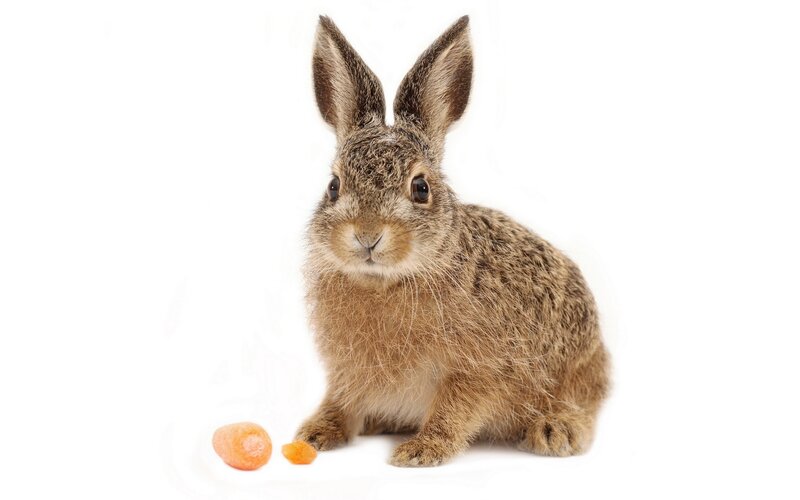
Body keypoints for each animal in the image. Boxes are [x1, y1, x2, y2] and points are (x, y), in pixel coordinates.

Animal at [295, 15, 610, 467]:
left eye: (421, 188)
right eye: (334, 186)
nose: (367, 235)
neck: (388, 282)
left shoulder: (479, 370)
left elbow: (454, 410)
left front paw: (421, 450)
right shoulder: (347, 370)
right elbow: (340, 400)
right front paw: (316, 432)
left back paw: (557, 431)